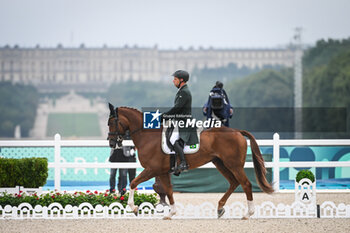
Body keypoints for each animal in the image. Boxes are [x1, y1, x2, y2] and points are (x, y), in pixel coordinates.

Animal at [107, 104, 274, 219]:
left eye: (112, 122)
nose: (111, 143)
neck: (148, 136)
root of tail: (237, 132)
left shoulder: (152, 169)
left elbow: (133, 183)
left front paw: (134, 208)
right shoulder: (162, 172)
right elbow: (168, 190)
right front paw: (171, 213)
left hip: (234, 165)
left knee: (245, 184)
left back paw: (248, 213)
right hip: (220, 163)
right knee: (234, 182)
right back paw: (220, 208)